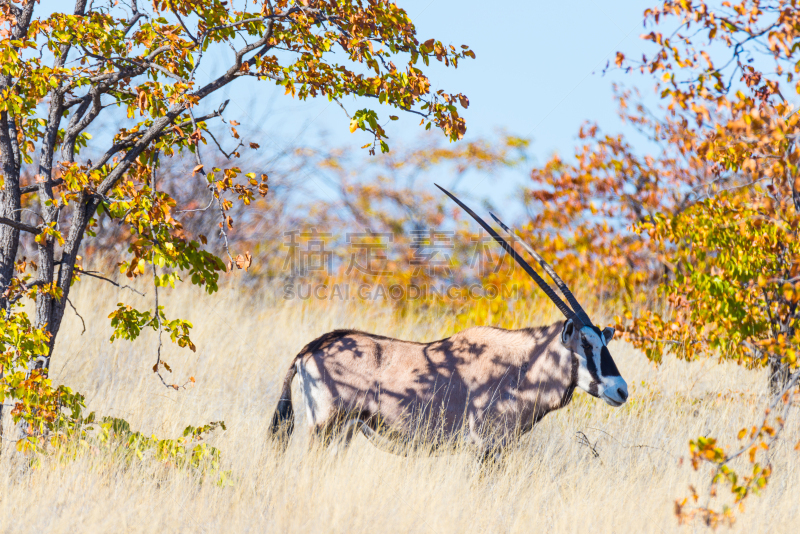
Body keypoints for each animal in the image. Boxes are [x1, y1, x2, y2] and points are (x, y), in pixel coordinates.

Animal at [272, 186, 628, 458]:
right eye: (585, 343)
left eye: (604, 342)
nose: (621, 390)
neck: (522, 365)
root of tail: (310, 349)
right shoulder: (485, 446)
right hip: (325, 428)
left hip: (341, 433)